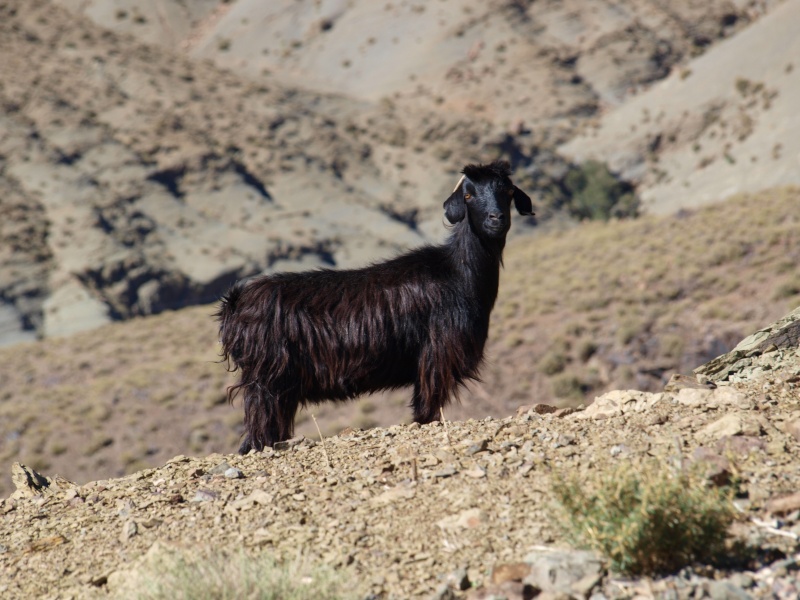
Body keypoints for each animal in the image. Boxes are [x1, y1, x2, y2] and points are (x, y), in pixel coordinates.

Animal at [217, 162, 532, 452]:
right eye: (468, 195)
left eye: (508, 191)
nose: (496, 218)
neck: (458, 273)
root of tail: (235, 304)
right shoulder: (435, 357)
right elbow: (426, 410)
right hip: (266, 383)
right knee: (258, 431)